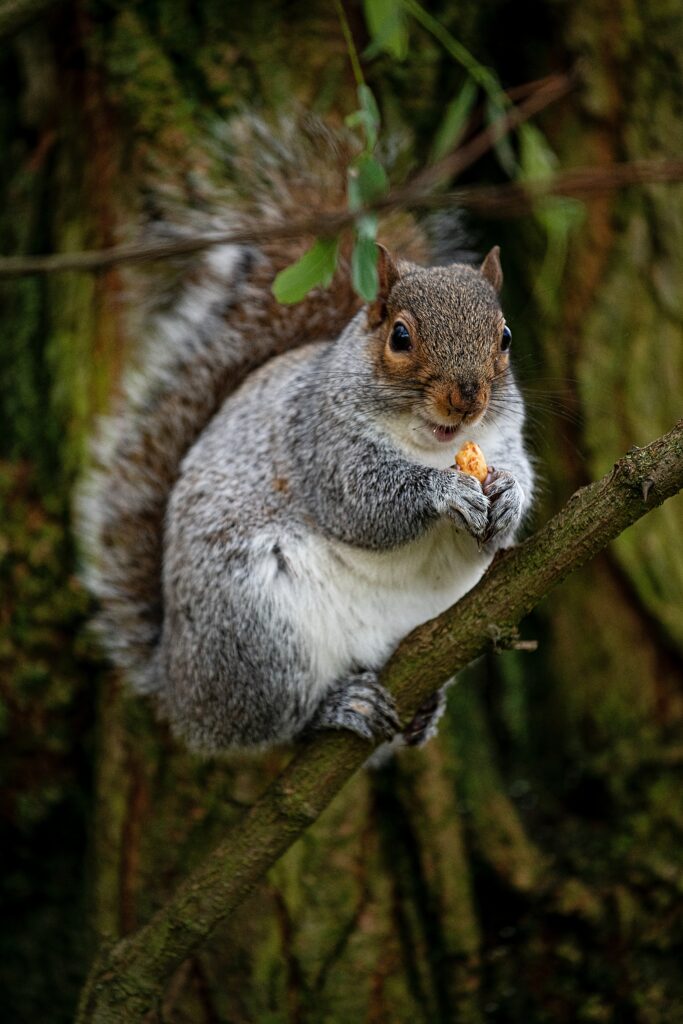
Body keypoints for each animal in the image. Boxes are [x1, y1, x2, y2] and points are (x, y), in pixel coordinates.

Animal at [79, 120, 534, 754]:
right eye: (399, 336)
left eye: (506, 337)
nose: (467, 397)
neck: (436, 445)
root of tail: (179, 687)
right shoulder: (319, 443)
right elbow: (364, 505)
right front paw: (443, 493)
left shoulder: (504, 439)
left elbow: (507, 508)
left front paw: (509, 495)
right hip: (261, 631)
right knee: (273, 724)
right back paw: (337, 706)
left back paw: (423, 711)